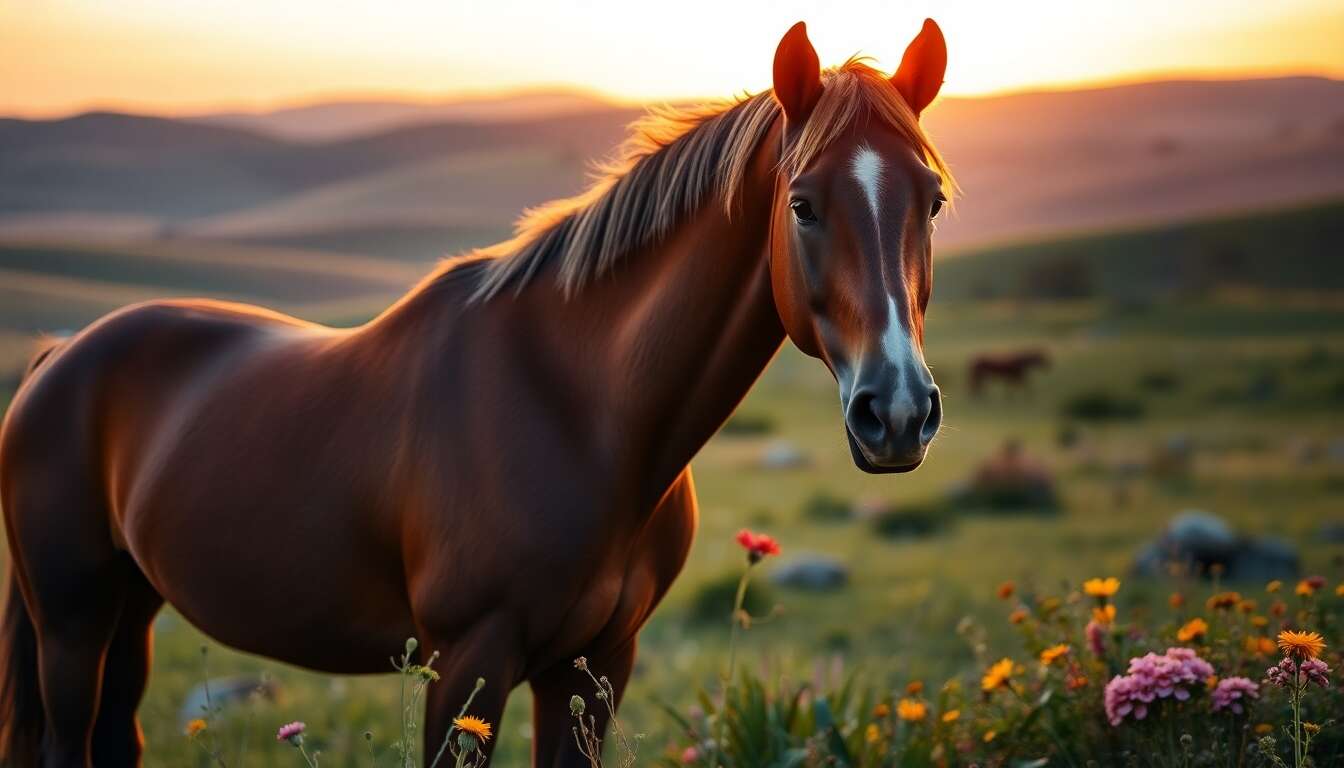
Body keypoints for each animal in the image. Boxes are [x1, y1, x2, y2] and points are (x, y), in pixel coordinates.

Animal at [0, 19, 954, 767]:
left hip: (130, 607)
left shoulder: (595, 667)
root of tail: (58, 357)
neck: (578, 412)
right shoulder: (470, 664)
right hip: (72, 622)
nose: (898, 412)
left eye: (935, 200)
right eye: (802, 204)